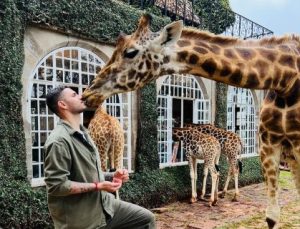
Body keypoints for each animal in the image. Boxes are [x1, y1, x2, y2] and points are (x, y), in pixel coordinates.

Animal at [82, 14, 300, 229]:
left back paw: (227, 196)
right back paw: (224, 194)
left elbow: (197, 174)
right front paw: (206, 195)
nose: (89, 91)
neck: (285, 78)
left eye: (131, 52)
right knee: (230, 169)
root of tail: (239, 139)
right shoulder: (266, 147)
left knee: (230, 170)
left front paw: (199, 196)